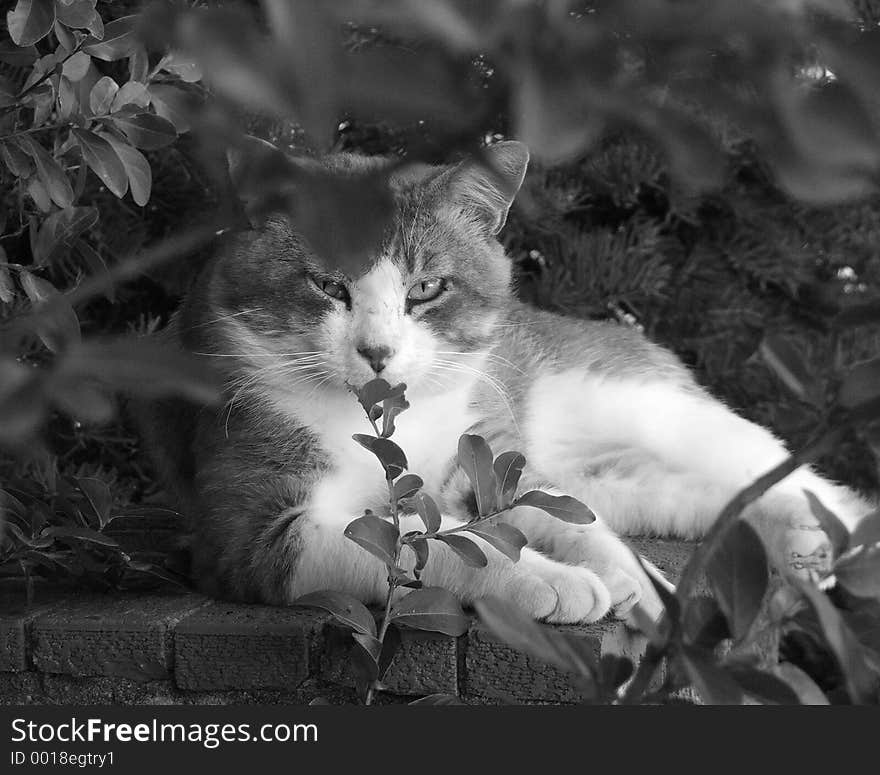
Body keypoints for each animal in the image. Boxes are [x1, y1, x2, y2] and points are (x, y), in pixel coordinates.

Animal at [139, 139, 872, 624]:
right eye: (328, 286)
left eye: (425, 288)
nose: (377, 351)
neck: (388, 423)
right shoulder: (255, 533)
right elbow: (422, 545)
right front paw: (559, 582)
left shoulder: (489, 462)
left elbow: (559, 519)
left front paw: (621, 574)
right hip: (612, 468)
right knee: (690, 495)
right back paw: (800, 543)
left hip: (650, 407)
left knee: (793, 475)